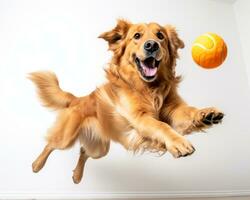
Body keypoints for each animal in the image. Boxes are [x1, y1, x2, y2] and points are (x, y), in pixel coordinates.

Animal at [28, 19, 224, 184]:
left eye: (160, 35)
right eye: (136, 36)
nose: (151, 45)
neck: (149, 89)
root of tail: (79, 98)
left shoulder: (174, 109)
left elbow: (188, 111)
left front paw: (206, 114)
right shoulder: (140, 118)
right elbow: (162, 126)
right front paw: (179, 143)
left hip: (99, 148)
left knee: (83, 151)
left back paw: (77, 176)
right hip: (66, 138)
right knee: (50, 144)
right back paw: (36, 165)